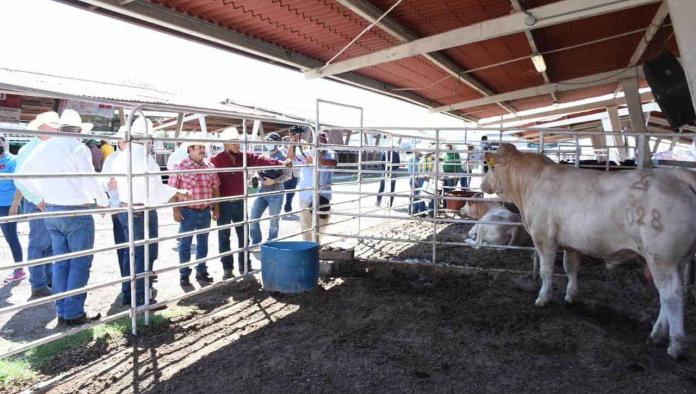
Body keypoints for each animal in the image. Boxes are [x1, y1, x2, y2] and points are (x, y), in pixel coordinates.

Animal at [482, 143, 696, 358]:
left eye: (491, 167)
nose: (483, 186)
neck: (530, 183)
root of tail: (676, 175)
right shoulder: (570, 244)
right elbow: (570, 268)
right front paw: (570, 296)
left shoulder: (543, 238)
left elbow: (546, 271)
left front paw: (543, 298)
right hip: (677, 261)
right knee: (667, 295)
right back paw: (656, 335)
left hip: (661, 259)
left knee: (671, 295)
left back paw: (674, 345)